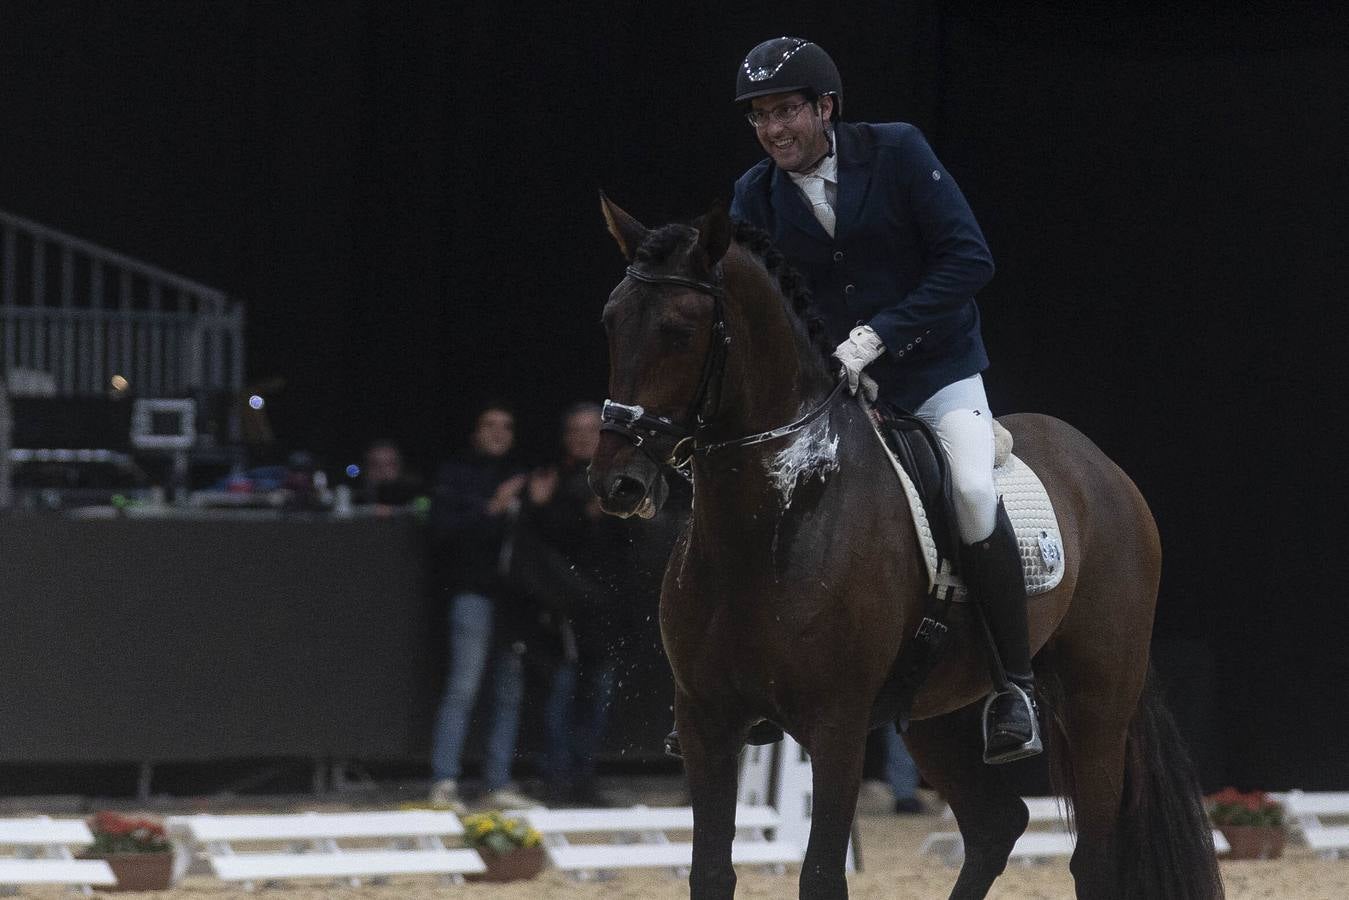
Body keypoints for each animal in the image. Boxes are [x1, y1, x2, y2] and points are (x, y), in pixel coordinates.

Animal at [587, 194, 1223, 900]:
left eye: (679, 329)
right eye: (612, 321)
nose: (617, 482)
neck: (772, 518)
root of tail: (1103, 468)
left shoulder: (835, 725)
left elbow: (820, 874)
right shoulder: (705, 721)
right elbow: (710, 871)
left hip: (1097, 701)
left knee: (1094, 857)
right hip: (935, 714)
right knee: (997, 824)